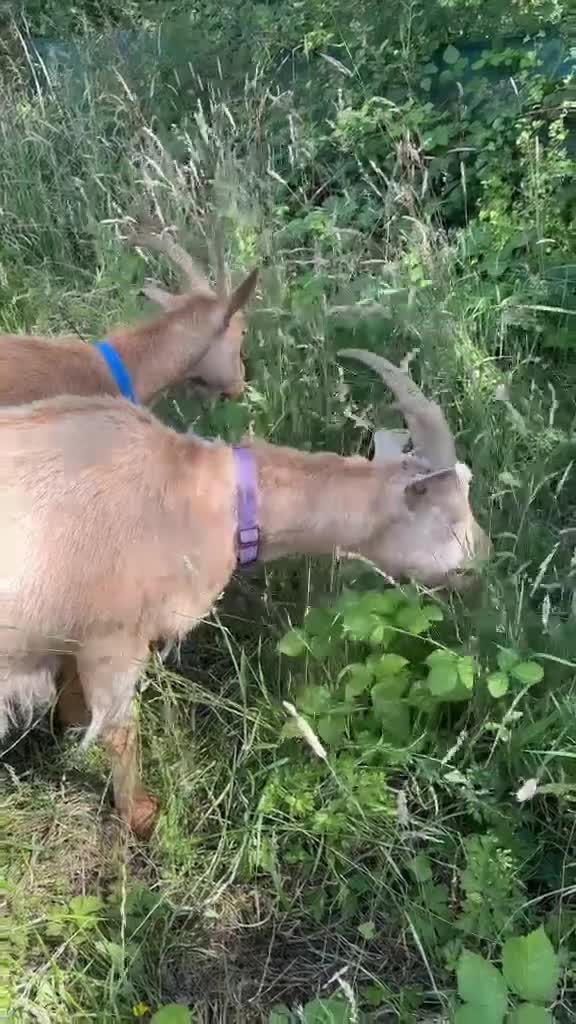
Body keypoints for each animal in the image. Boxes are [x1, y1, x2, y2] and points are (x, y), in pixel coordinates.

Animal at [0, 350, 490, 836]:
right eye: (451, 515)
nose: (483, 561)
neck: (209, 498)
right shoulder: (114, 639)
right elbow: (120, 730)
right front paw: (140, 814)